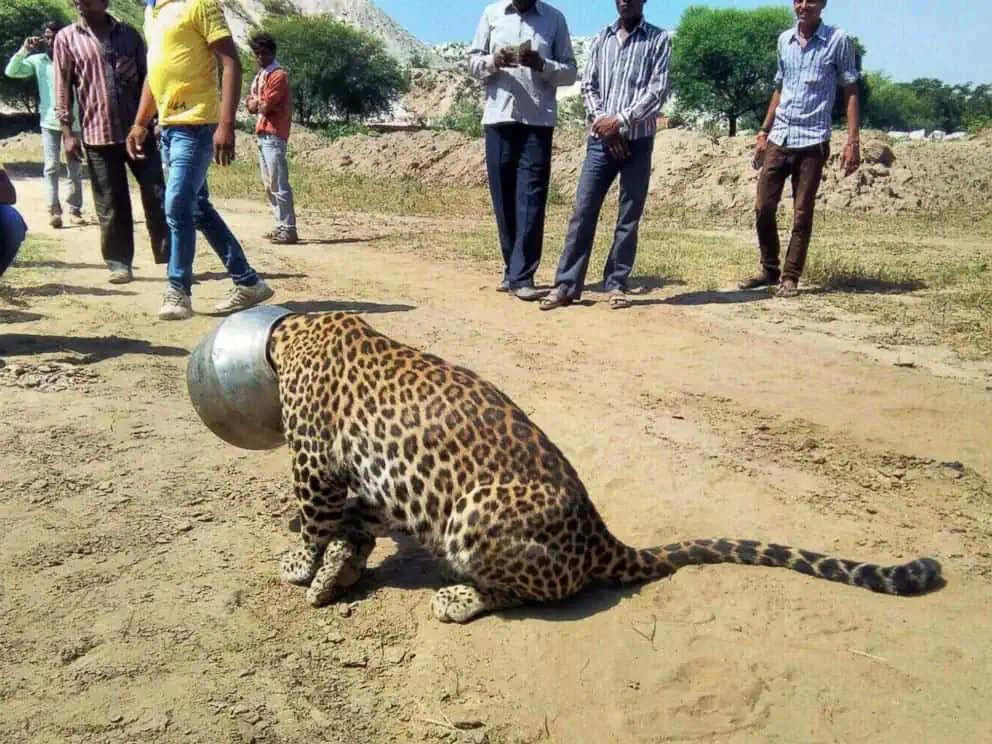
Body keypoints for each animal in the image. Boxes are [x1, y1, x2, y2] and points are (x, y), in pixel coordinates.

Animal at [266, 311, 943, 624]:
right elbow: (353, 525)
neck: (298, 329)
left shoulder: (313, 462)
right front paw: (337, 572)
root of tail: (600, 535)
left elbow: (313, 520)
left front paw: (301, 565)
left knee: (533, 591)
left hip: (475, 512)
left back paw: (457, 597)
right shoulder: (369, 481)